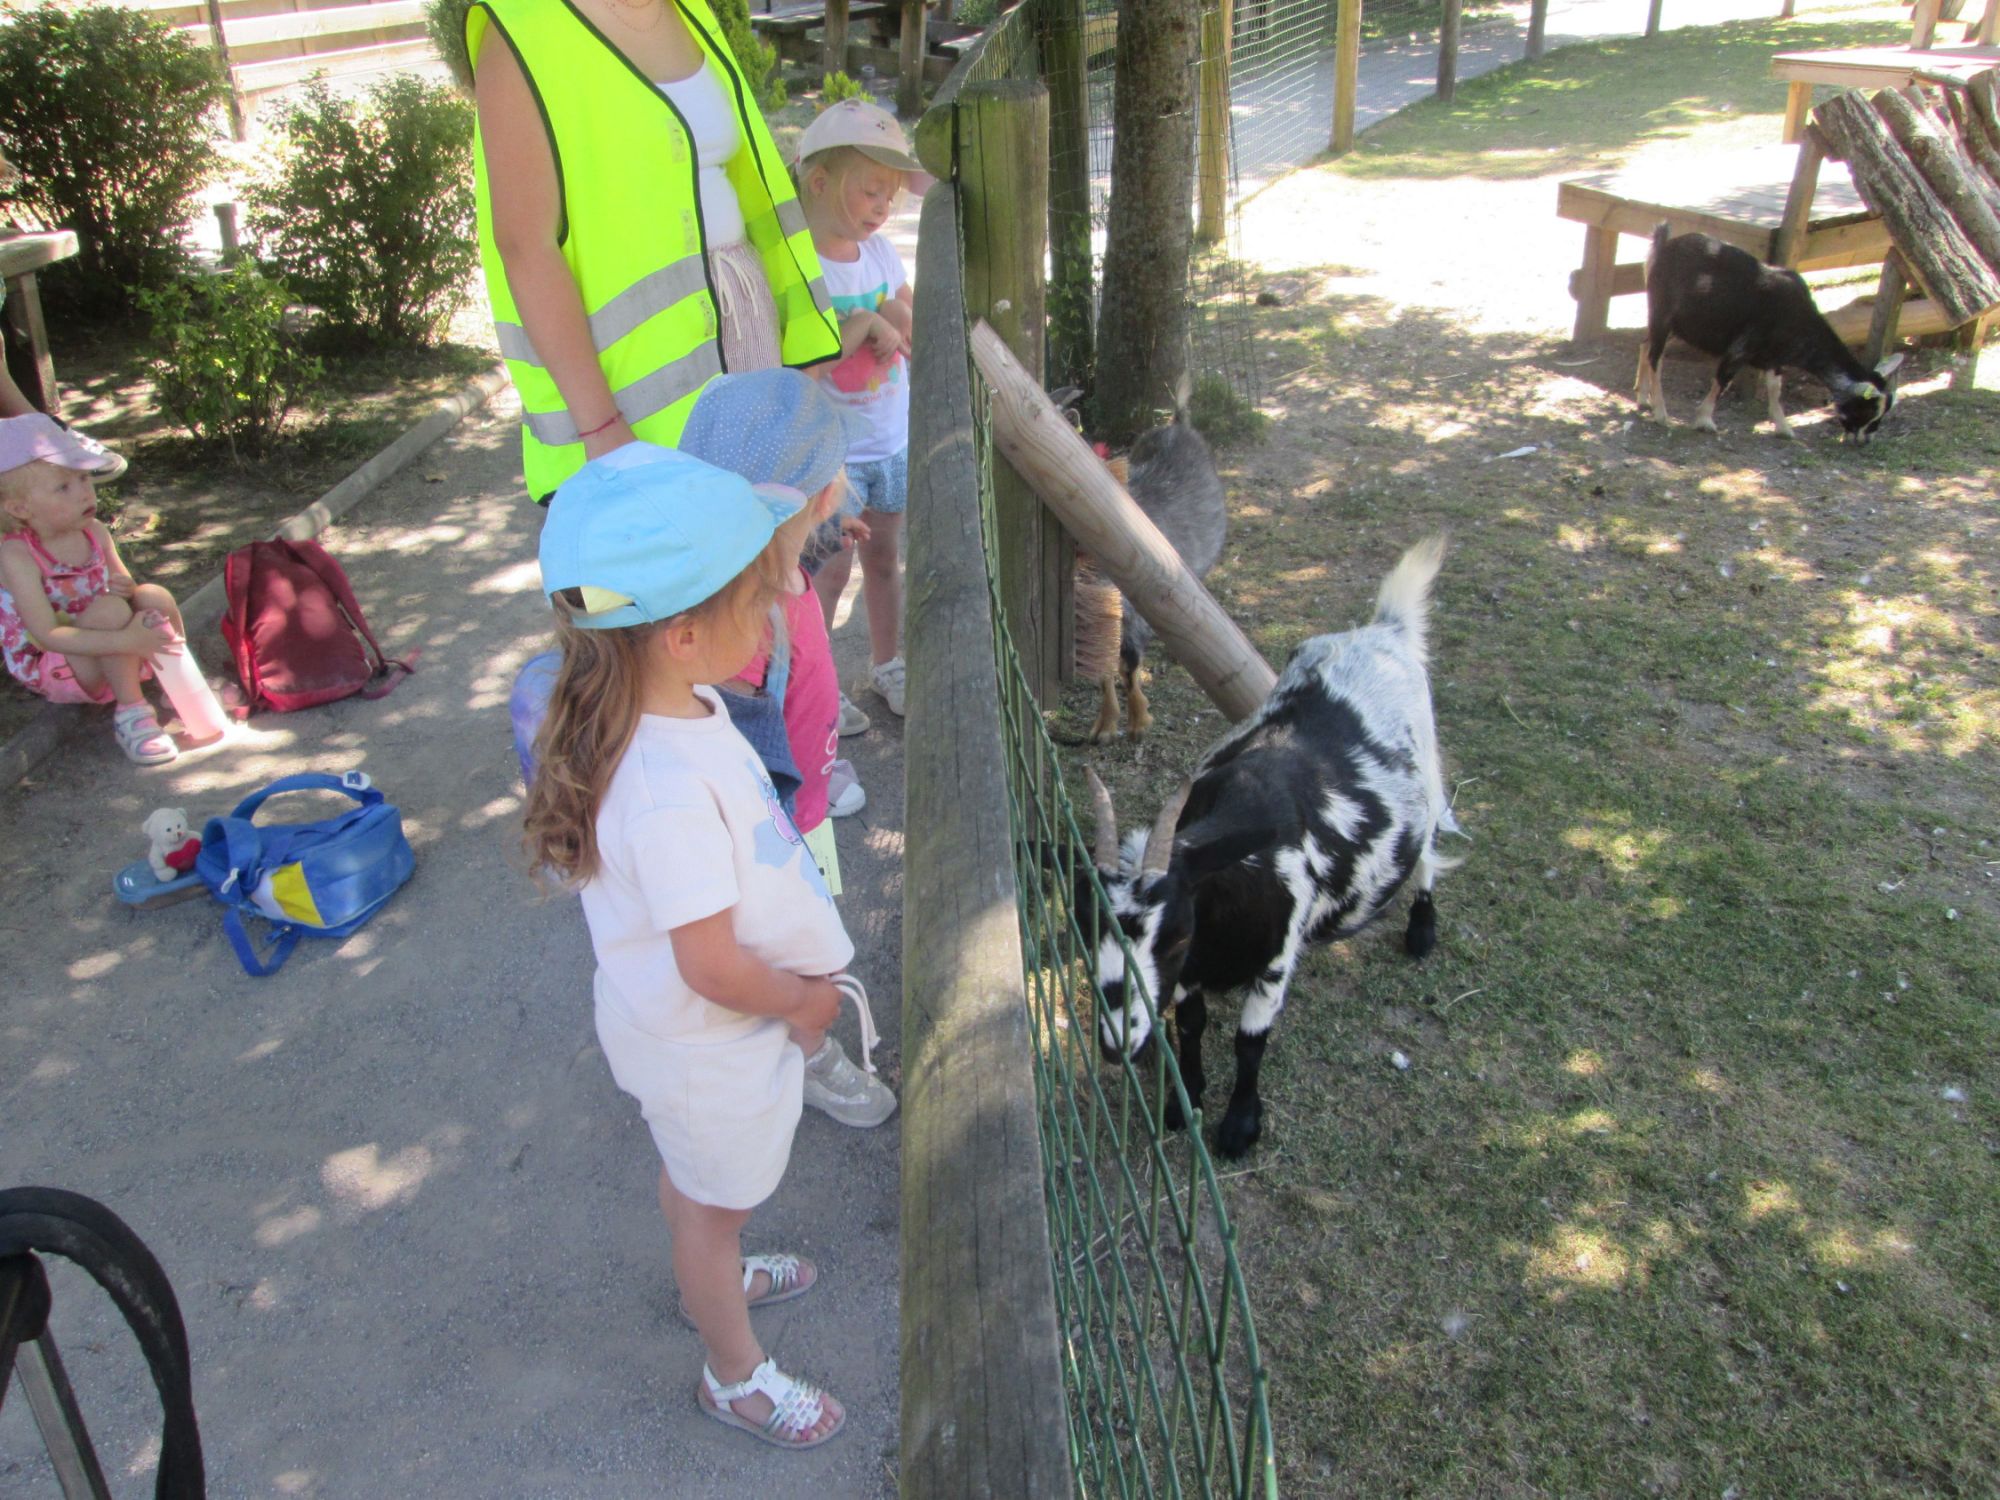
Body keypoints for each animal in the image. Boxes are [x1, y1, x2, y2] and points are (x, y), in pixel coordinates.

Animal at [1051, 383, 1229, 743]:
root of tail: (1177, 425)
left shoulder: (1132, 614)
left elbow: (1128, 667)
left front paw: (1138, 722)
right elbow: (1105, 669)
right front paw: (1106, 725)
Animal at [1075, 537, 1461, 1158]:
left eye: (1174, 933)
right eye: (1086, 927)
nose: (1115, 1043)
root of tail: (1385, 628)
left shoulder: (1275, 959)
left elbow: (1250, 1041)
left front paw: (1239, 1126)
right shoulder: (1195, 967)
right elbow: (1192, 1024)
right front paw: (1185, 1101)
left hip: (1426, 773)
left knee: (1428, 848)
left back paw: (1422, 929)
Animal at [1636, 224, 1904, 443]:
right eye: (1866, 410)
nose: (1864, 440)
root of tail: (1663, 247)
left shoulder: (1774, 359)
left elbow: (1775, 390)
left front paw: (1784, 428)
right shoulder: (1741, 348)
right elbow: (1722, 381)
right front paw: (1704, 421)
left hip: (1674, 324)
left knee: (1646, 344)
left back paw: (1643, 397)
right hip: (1663, 313)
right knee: (1655, 357)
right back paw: (1661, 413)